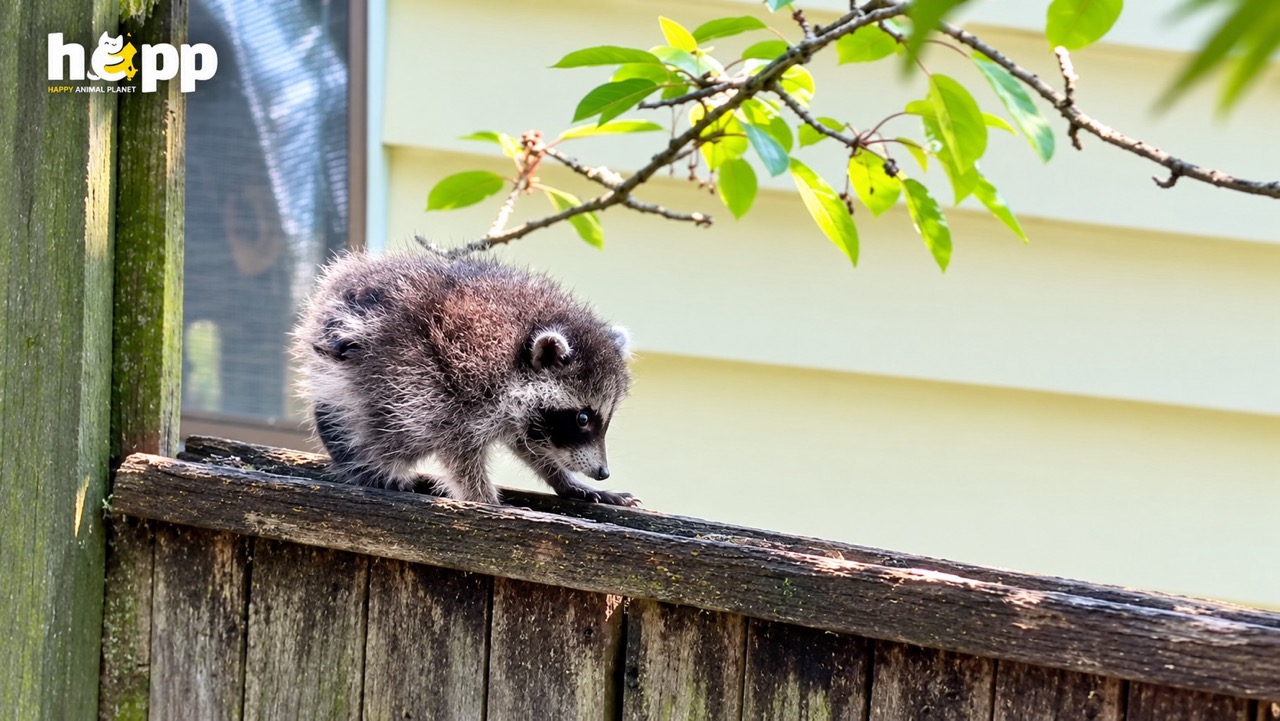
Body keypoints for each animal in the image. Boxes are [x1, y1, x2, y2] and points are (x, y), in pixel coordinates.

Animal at [292, 251, 637, 507]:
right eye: (583, 418)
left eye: (604, 418)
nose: (602, 472)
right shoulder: (446, 388)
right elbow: (458, 451)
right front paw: (484, 499)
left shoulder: (523, 417)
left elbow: (529, 444)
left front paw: (564, 479)